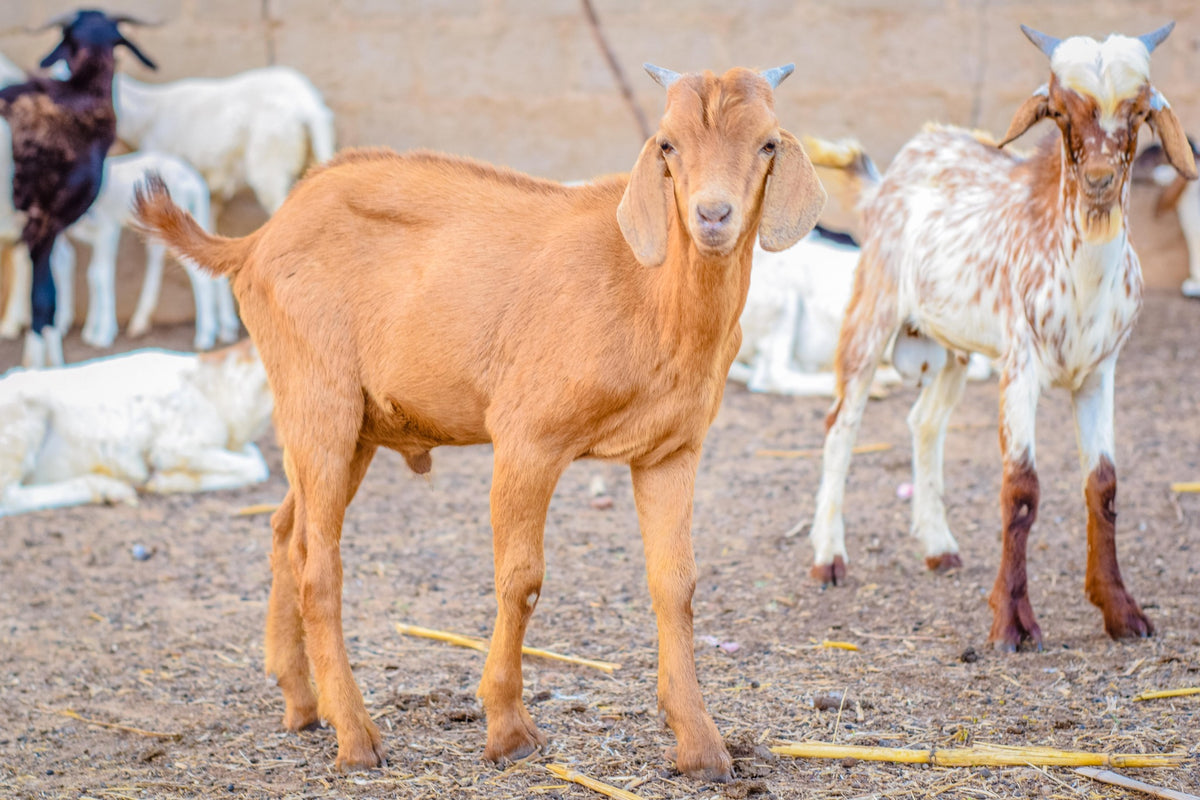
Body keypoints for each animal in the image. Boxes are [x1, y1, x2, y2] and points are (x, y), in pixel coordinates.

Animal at [0, 339, 272, 518]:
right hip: (19, 431)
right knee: (9, 498)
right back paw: (110, 488)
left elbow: (255, 456)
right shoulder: (175, 447)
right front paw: (164, 482)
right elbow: (256, 466)